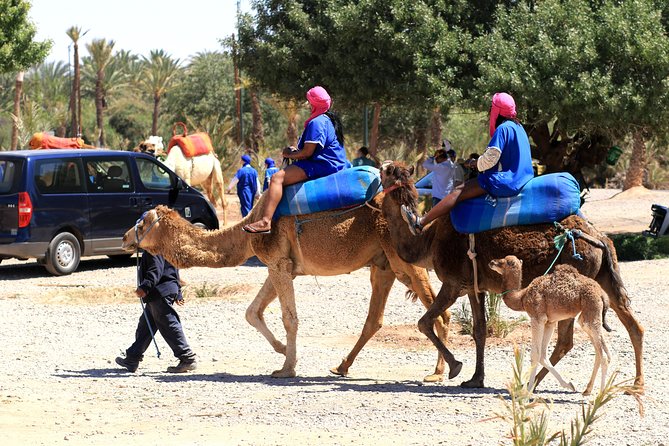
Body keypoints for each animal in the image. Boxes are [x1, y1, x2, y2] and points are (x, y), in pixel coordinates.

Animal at [121, 195, 455, 380]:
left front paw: (287, 368)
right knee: (375, 318)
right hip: (383, 264)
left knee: (440, 314)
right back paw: (341, 367)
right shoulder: (280, 266)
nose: (124, 237)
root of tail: (415, 212)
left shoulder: (278, 263)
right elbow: (252, 311)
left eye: (143, 222)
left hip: (404, 259)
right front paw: (282, 350)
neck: (246, 233)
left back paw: (439, 373)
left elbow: (289, 318)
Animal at [489, 255, 612, 395]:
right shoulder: (550, 322)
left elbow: (535, 354)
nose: (492, 262)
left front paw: (528, 390)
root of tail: (602, 294)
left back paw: (601, 394)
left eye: (506, 262)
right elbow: (543, 355)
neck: (522, 297)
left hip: (591, 309)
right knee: (601, 353)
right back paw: (587, 390)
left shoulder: (537, 318)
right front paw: (569, 385)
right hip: (587, 316)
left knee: (604, 355)